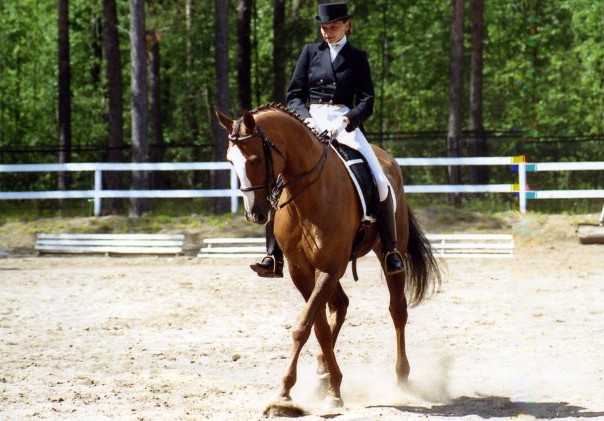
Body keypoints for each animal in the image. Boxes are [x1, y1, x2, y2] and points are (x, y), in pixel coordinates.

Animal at [215, 101, 442, 406]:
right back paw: (323, 374)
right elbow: (317, 326)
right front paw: (319, 385)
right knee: (341, 305)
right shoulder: (301, 270)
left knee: (397, 309)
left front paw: (297, 390)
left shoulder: (331, 266)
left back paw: (402, 377)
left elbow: (304, 325)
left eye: (255, 159)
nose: (255, 214)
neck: (308, 196)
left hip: (388, 253)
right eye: (230, 161)